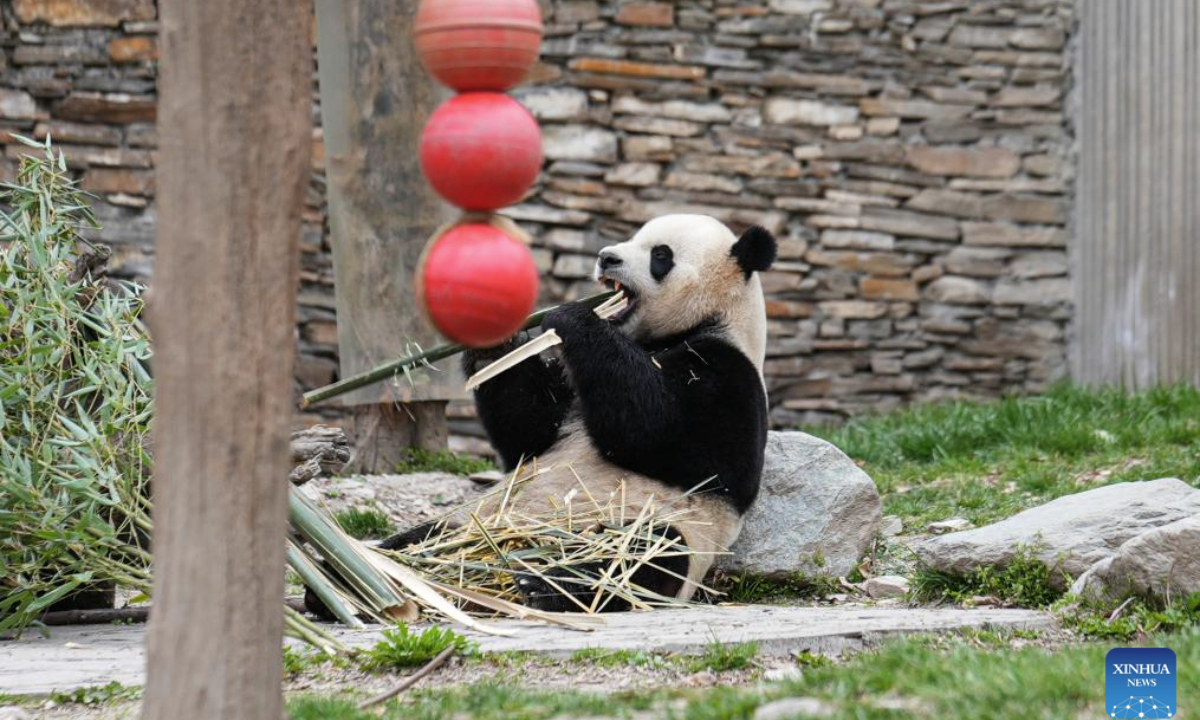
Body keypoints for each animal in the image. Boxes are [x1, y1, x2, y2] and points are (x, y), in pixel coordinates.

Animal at [377, 214, 777, 611]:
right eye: (634, 239)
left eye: (660, 255)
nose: (606, 257)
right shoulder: (573, 385)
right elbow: (529, 432)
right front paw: (497, 344)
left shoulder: (727, 373)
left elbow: (671, 439)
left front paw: (573, 316)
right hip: (475, 516)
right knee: (424, 534)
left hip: (650, 523)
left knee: (646, 553)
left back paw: (542, 586)